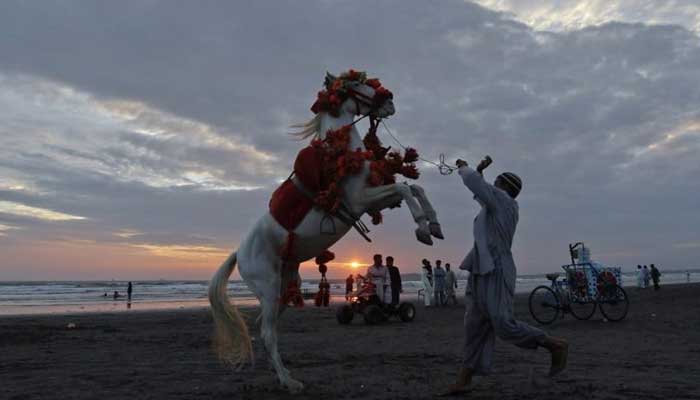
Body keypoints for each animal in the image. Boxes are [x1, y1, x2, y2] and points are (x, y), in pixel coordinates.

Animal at [205, 70, 442, 392]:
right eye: (357, 84)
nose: (390, 101)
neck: (340, 152)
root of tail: (239, 252)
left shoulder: (373, 198)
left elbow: (415, 188)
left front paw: (433, 224)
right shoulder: (361, 200)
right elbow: (406, 188)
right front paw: (422, 228)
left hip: (285, 287)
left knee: (266, 329)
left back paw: (283, 376)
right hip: (268, 286)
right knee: (267, 332)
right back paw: (289, 382)